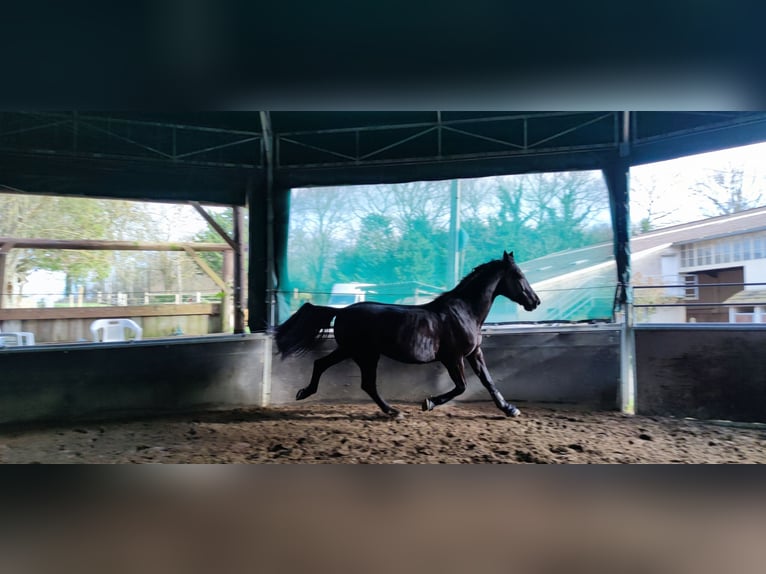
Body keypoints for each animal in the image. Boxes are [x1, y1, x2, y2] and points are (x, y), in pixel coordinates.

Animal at [274, 251, 540, 418]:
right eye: (519, 276)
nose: (535, 301)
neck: (464, 312)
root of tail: (341, 311)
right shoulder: (453, 358)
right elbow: (461, 387)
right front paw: (428, 403)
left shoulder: (474, 353)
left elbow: (488, 381)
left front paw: (510, 409)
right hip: (363, 354)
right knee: (364, 382)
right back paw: (393, 411)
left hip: (353, 351)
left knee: (329, 367)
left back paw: (306, 393)